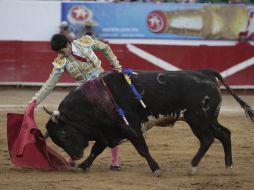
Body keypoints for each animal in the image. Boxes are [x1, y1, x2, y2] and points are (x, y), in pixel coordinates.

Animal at [44, 70, 253, 175]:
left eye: (63, 133)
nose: (75, 155)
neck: (98, 100)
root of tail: (207, 74)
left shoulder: (130, 128)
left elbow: (142, 149)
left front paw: (156, 168)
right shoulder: (108, 131)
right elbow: (96, 150)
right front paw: (83, 166)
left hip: (198, 120)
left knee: (208, 139)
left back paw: (193, 166)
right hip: (210, 119)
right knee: (225, 134)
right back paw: (228, 167)